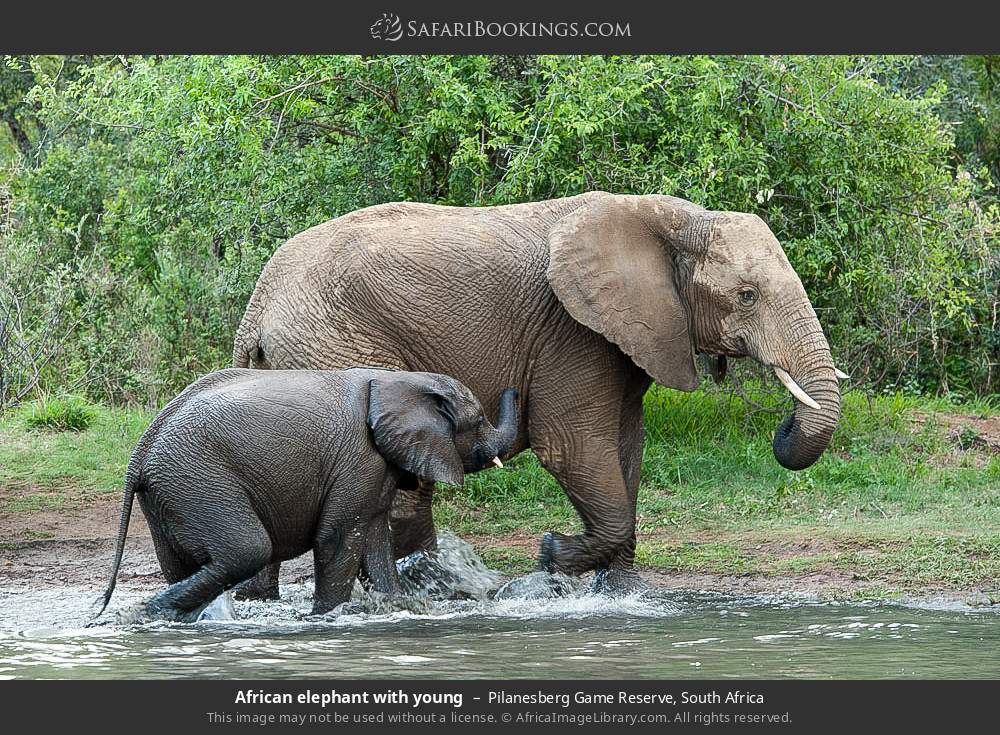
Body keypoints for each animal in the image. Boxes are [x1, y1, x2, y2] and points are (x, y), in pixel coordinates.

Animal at [96, 367, 518, 621]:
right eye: (479, 420)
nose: (514, 387)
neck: (397, 380)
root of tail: (140, 451)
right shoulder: (358, 459)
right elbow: (338, 538)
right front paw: (325, 618)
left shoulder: (376, 467)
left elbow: (377, 541)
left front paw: (397, 607)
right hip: (197, 481)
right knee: (248, 550)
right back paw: (153, 611)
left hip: (168, 493)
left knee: (180, 565)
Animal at [232, 191, 845, 595]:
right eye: (746, 296)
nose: (784, 425)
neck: (674, 218)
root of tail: (258, 303)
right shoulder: (572, 333)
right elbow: (571, 445)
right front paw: (553, 553)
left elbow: (626, 448)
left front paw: (621, 593)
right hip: (333, 343)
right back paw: (426, 591)